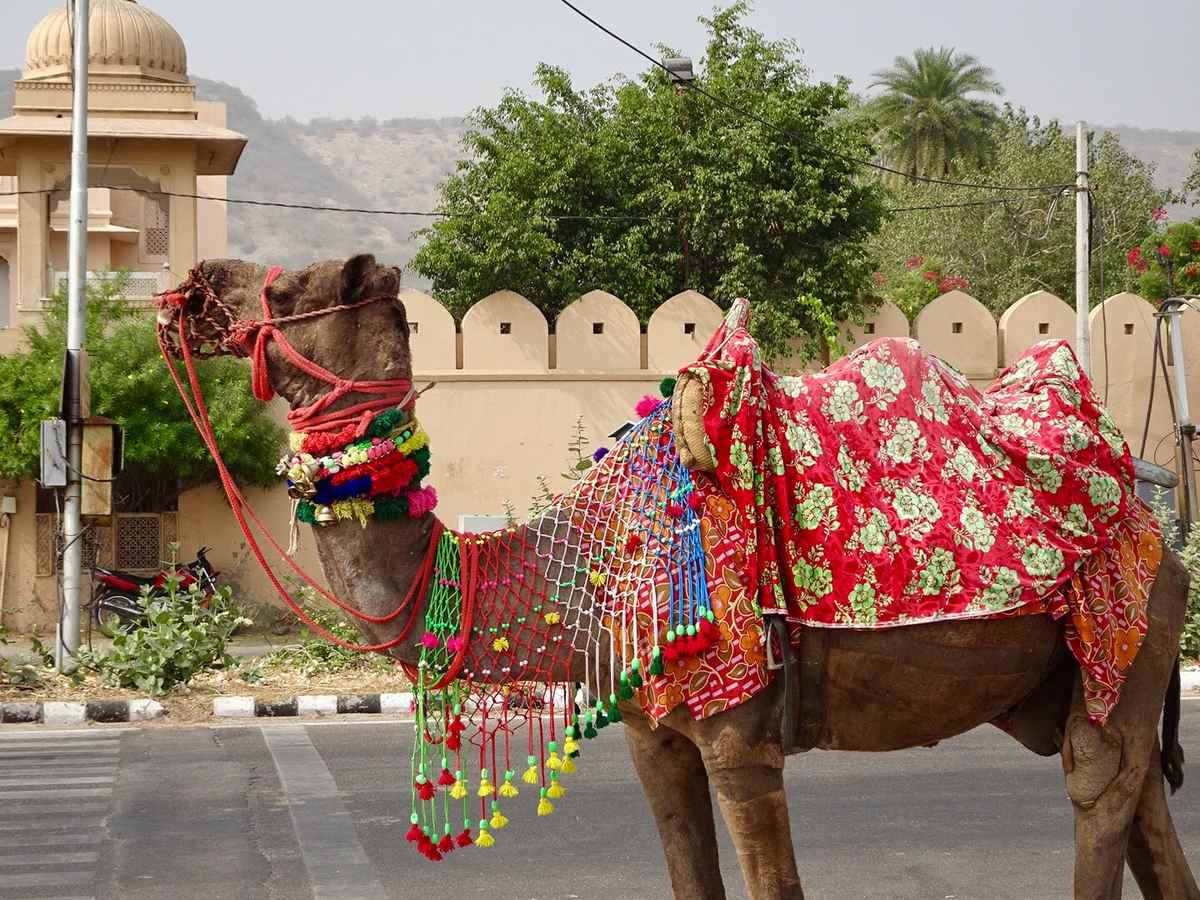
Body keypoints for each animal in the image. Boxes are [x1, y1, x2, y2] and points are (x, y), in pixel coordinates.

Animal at [164, 255, 1196, 900]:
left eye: (282, 282)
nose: (190, 288)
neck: (582, 581)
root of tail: (1158, 525)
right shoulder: (652, 736)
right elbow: (688, 877)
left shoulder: (742, 734)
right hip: (1084, 676)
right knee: (1141, 800)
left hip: (1127, 623)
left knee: (1096, 786)